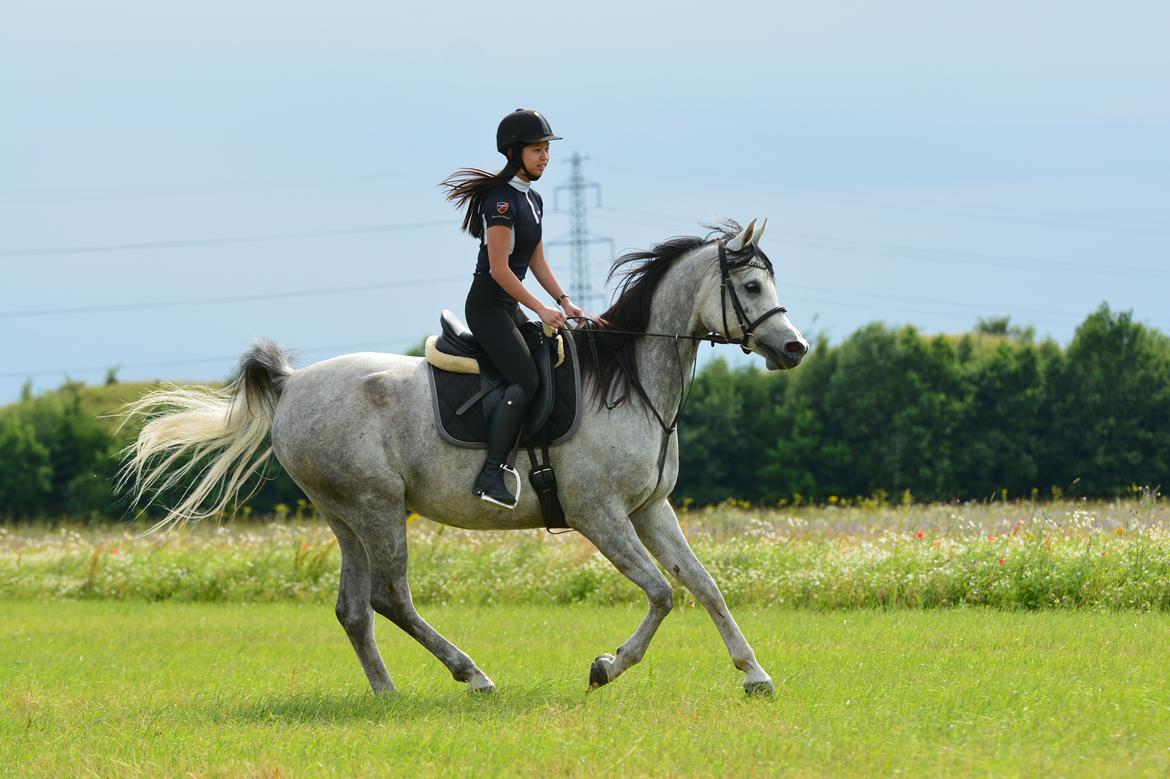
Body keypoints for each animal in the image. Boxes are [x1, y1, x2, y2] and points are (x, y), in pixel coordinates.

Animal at [123, 216, 809, 692]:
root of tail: (292, 385)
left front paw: (755, 675)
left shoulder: (649, 509)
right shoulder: (599, 514)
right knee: (389, 599)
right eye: (752, 284)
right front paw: (607, 666)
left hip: (345, 516)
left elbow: (703, 584)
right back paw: (472, 675)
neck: (630, 381)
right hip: (378, 507)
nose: (795, 348)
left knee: (353, 609)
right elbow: (662, 593)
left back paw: (387, 693)